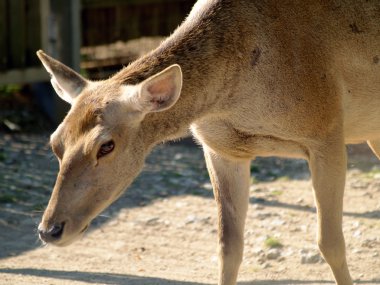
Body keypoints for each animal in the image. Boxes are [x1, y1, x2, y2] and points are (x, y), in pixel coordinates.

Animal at [36, 0, 380, 284]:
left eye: (106, 145)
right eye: (55, 142)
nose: (49, 230)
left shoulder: (327, 131)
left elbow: (330, 243)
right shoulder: (221, 148)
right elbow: (228, 247)